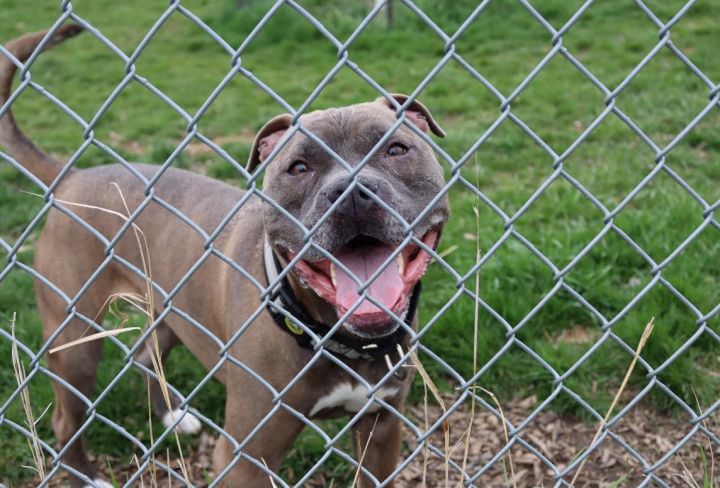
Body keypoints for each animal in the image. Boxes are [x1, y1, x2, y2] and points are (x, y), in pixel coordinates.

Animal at [0, 24, 450, 486]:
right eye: (298, 168)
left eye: (396, 150)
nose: (352, 194)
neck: (332, 334)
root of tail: (72, 177)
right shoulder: (247, 456)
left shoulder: (382, 429)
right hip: (75, 339)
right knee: (66, 418)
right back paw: (86, 474)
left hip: (171, 309)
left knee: (147, 355)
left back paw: (172, 416)